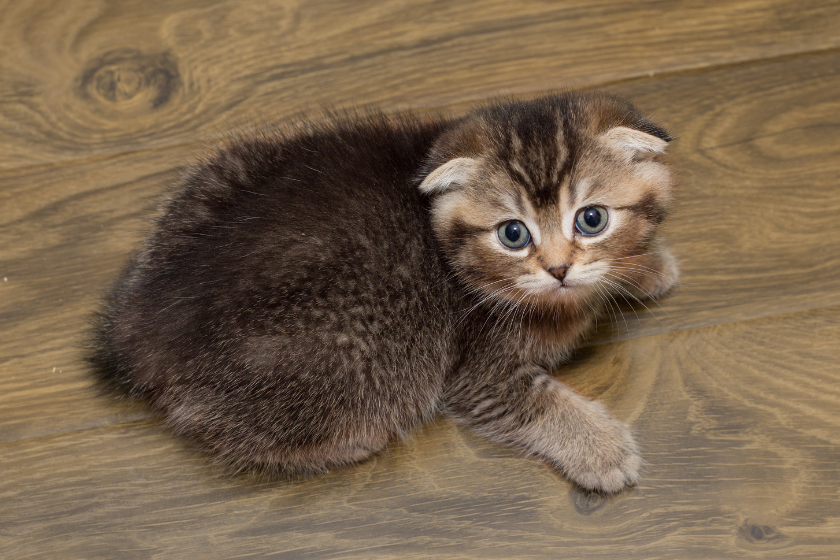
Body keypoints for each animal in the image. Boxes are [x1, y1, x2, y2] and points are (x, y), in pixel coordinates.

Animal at [92, 92, 680, 494]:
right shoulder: (476, 371)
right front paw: (602, 450)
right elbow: (537, 401)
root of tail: (145, 323)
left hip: (215, 172)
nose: (558, 269)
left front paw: (645, 266)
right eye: (513, 234)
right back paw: (352, 442)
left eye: (591, 219)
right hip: (362, 360)